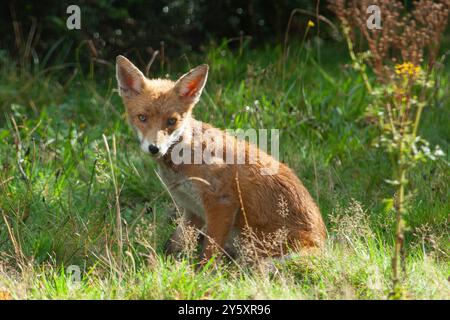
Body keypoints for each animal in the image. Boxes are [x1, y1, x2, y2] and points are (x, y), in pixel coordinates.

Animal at [116, 55, 326, 264]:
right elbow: (173, 245)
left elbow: (208, 253)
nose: (154, 148)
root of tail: (326, 244)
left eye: (171, 121)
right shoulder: (192, 210)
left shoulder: (221, 203)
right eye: (142, 118)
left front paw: (203, 272)